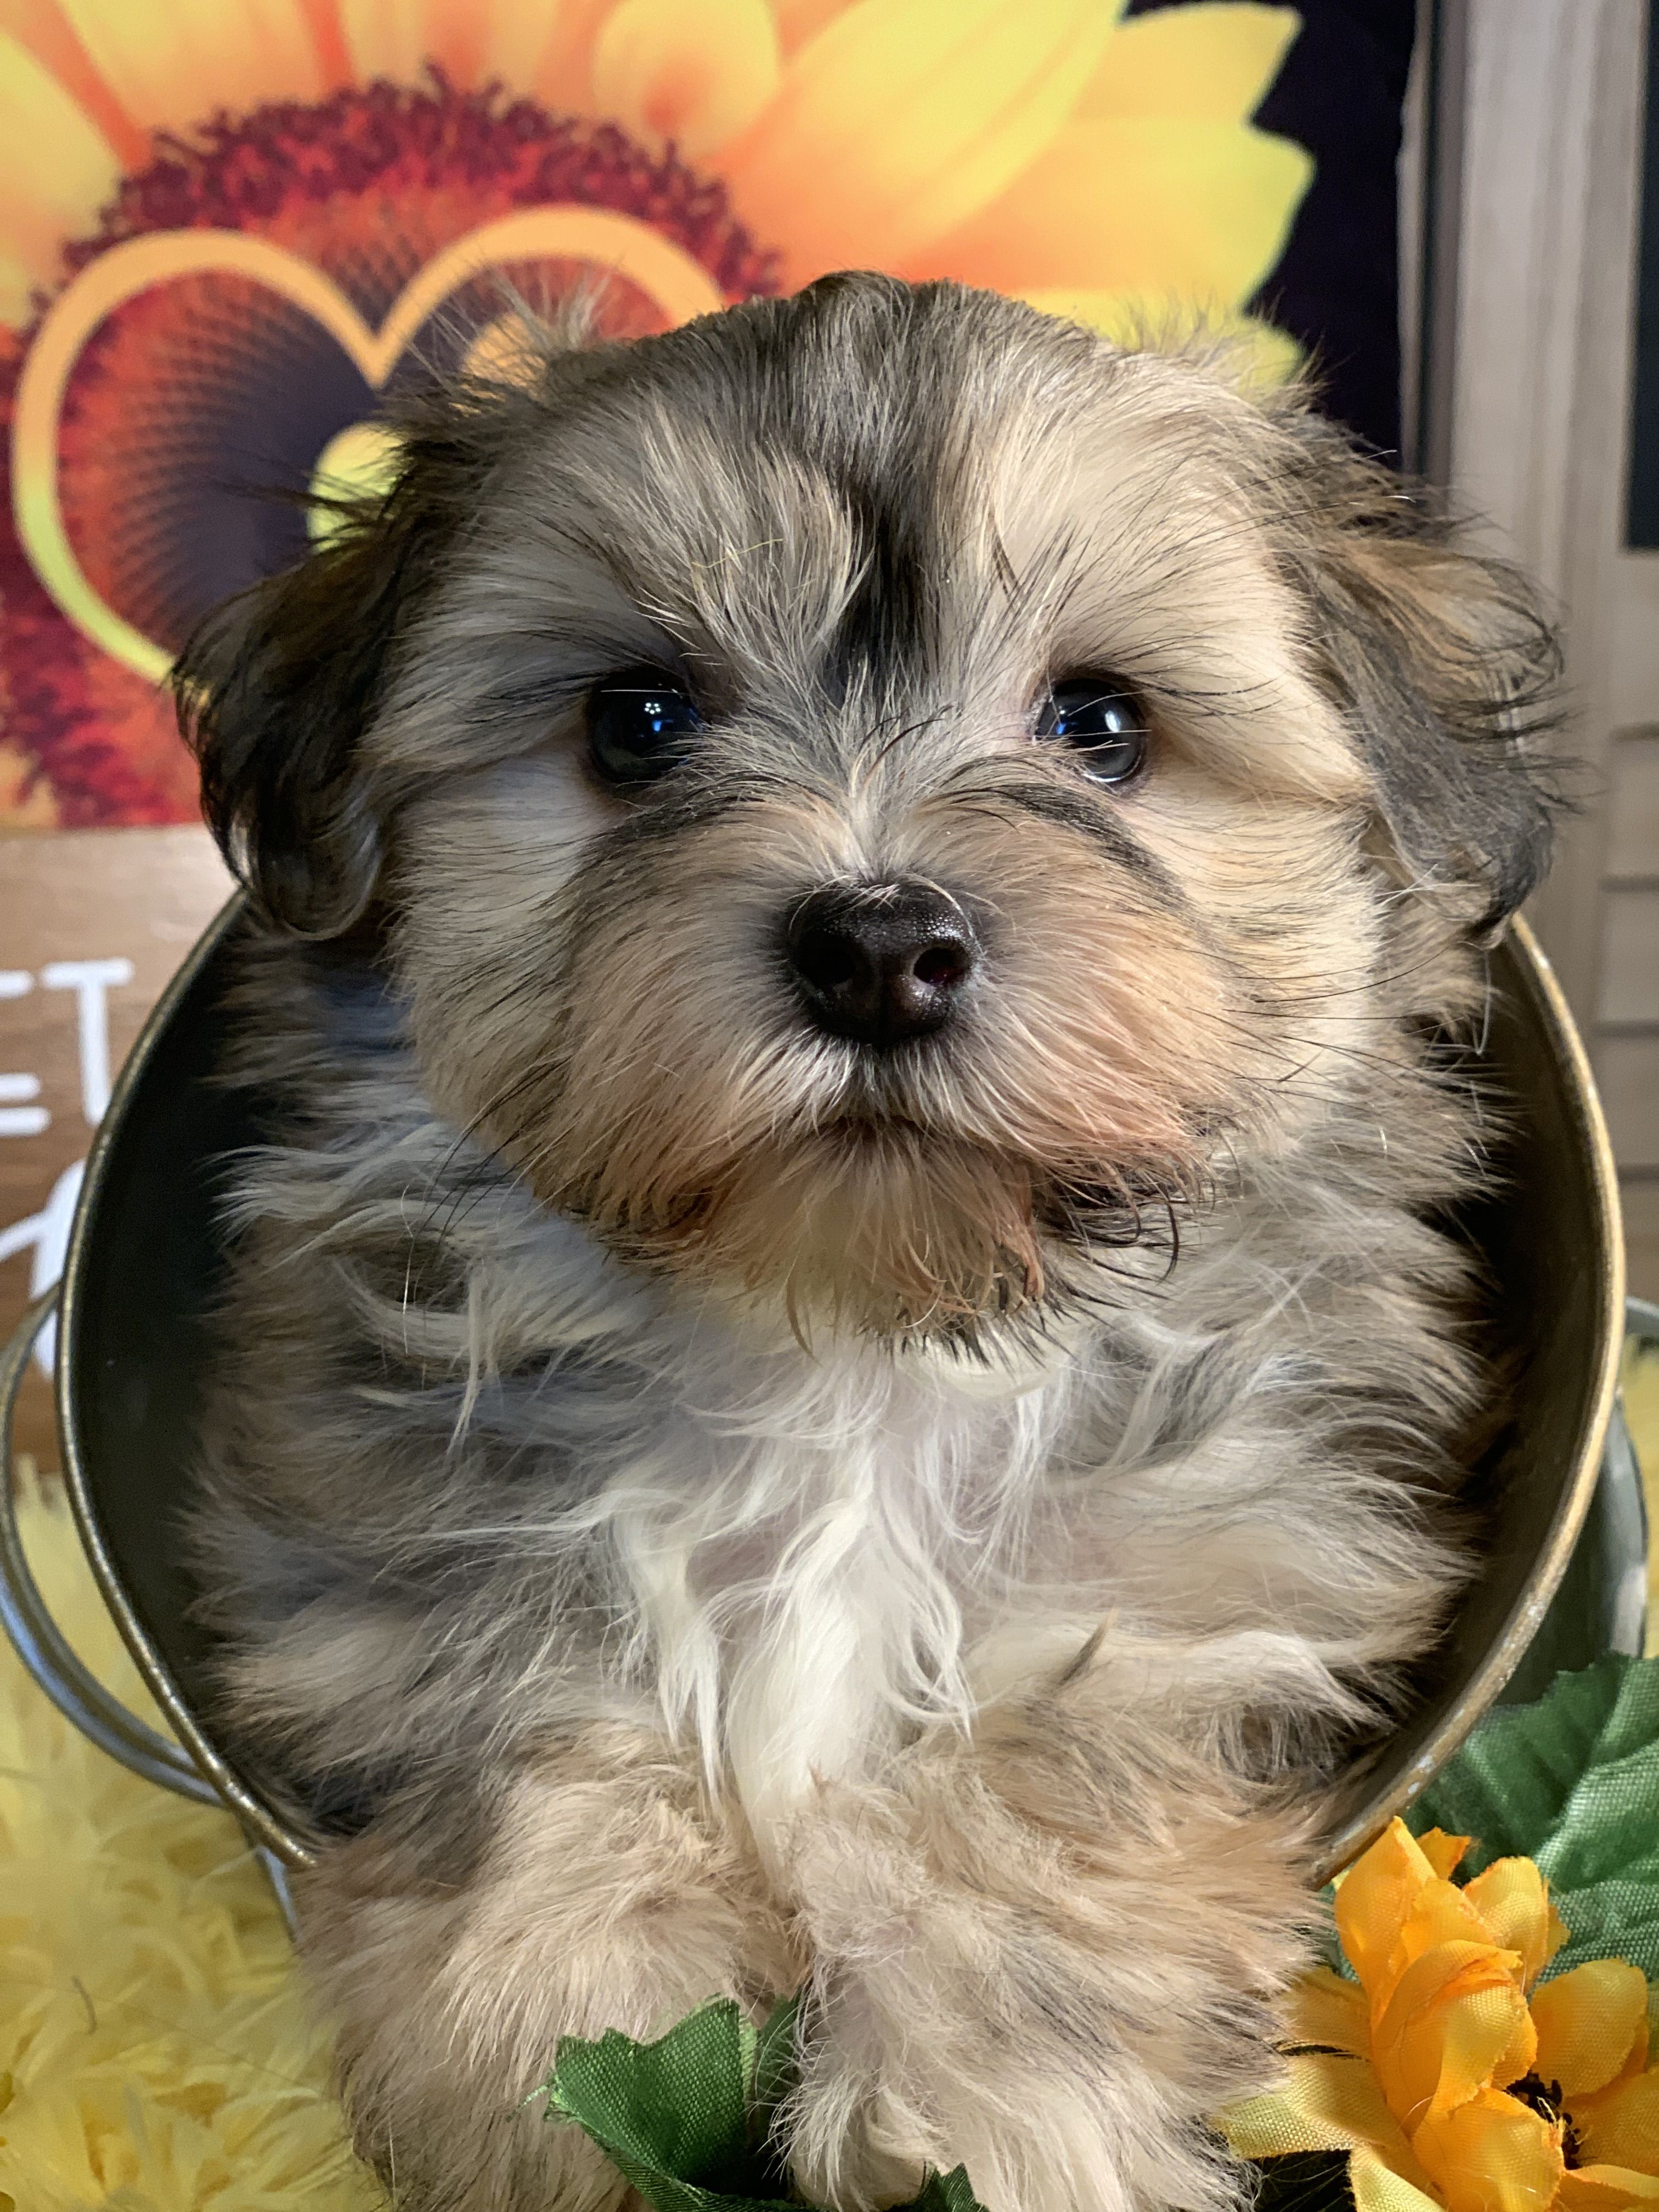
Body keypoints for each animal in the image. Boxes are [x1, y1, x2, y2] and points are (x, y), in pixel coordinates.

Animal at [176, 273, 1560, 2212]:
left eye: (1103, 729)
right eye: (639, 725)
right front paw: (571, 2038)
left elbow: (1052, 1756)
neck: (853, 1340)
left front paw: (996, 2107)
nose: (880, 944)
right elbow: (535, 1698)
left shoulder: (1225, 1584)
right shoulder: (391, 1564)